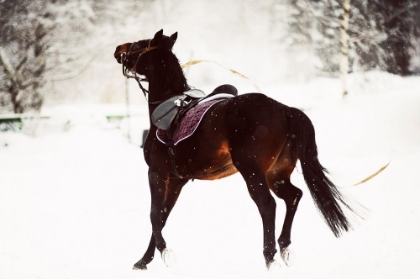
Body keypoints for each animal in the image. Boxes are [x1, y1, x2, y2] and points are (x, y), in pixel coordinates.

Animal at [113, 30, 356, 272]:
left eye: (139, 45)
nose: (118, 49)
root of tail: (285, 110)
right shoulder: (176, 180)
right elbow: (163, 216)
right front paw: (144, 260)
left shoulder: (157, 173)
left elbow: (154, 215)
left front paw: (164, 252)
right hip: (276, 173)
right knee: (294, 196)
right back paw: (284, 247)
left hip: (252, 171)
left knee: (268, 205)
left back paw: (270, 257)